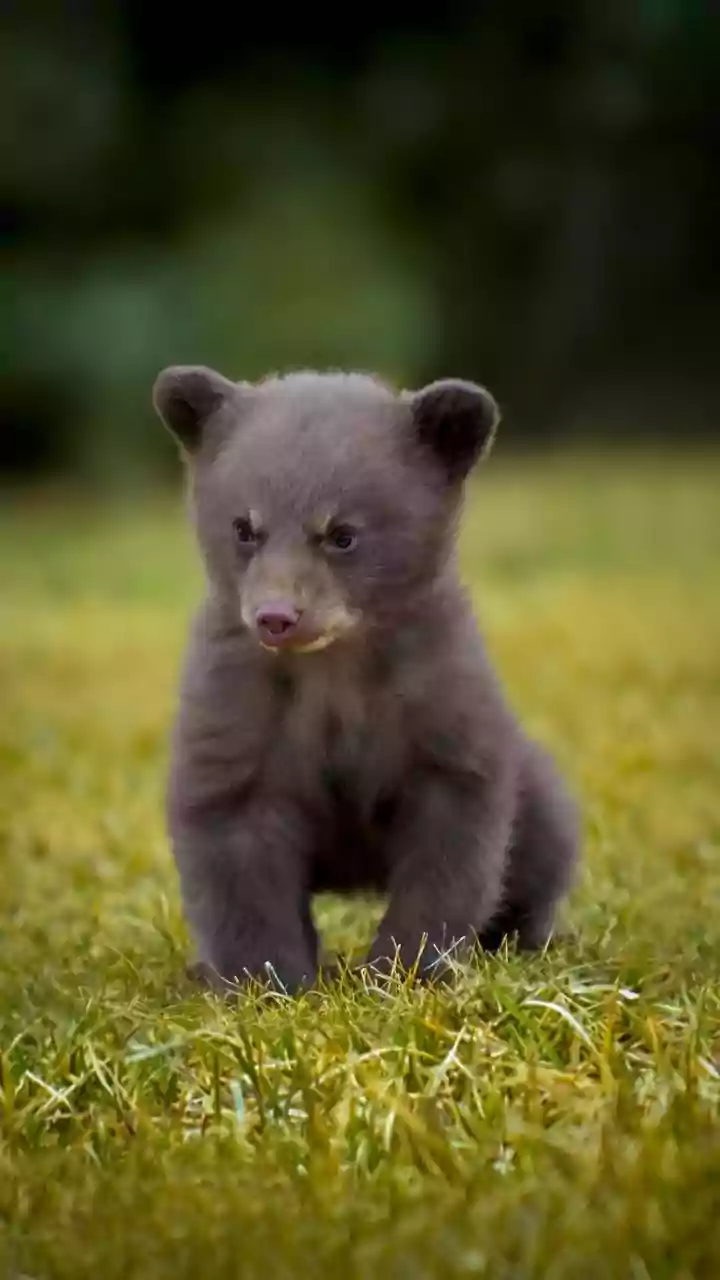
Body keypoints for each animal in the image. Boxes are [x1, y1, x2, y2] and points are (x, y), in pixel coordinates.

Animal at [152, 365, 579, 992]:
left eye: (343, 534)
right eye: (244, 529)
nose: (277, 617)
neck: (332, 667)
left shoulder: (439, 702)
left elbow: (452, 842)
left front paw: (404, 969)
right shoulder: (236, 707)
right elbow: (234, 838)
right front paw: (271, 981)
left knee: (542, 842)